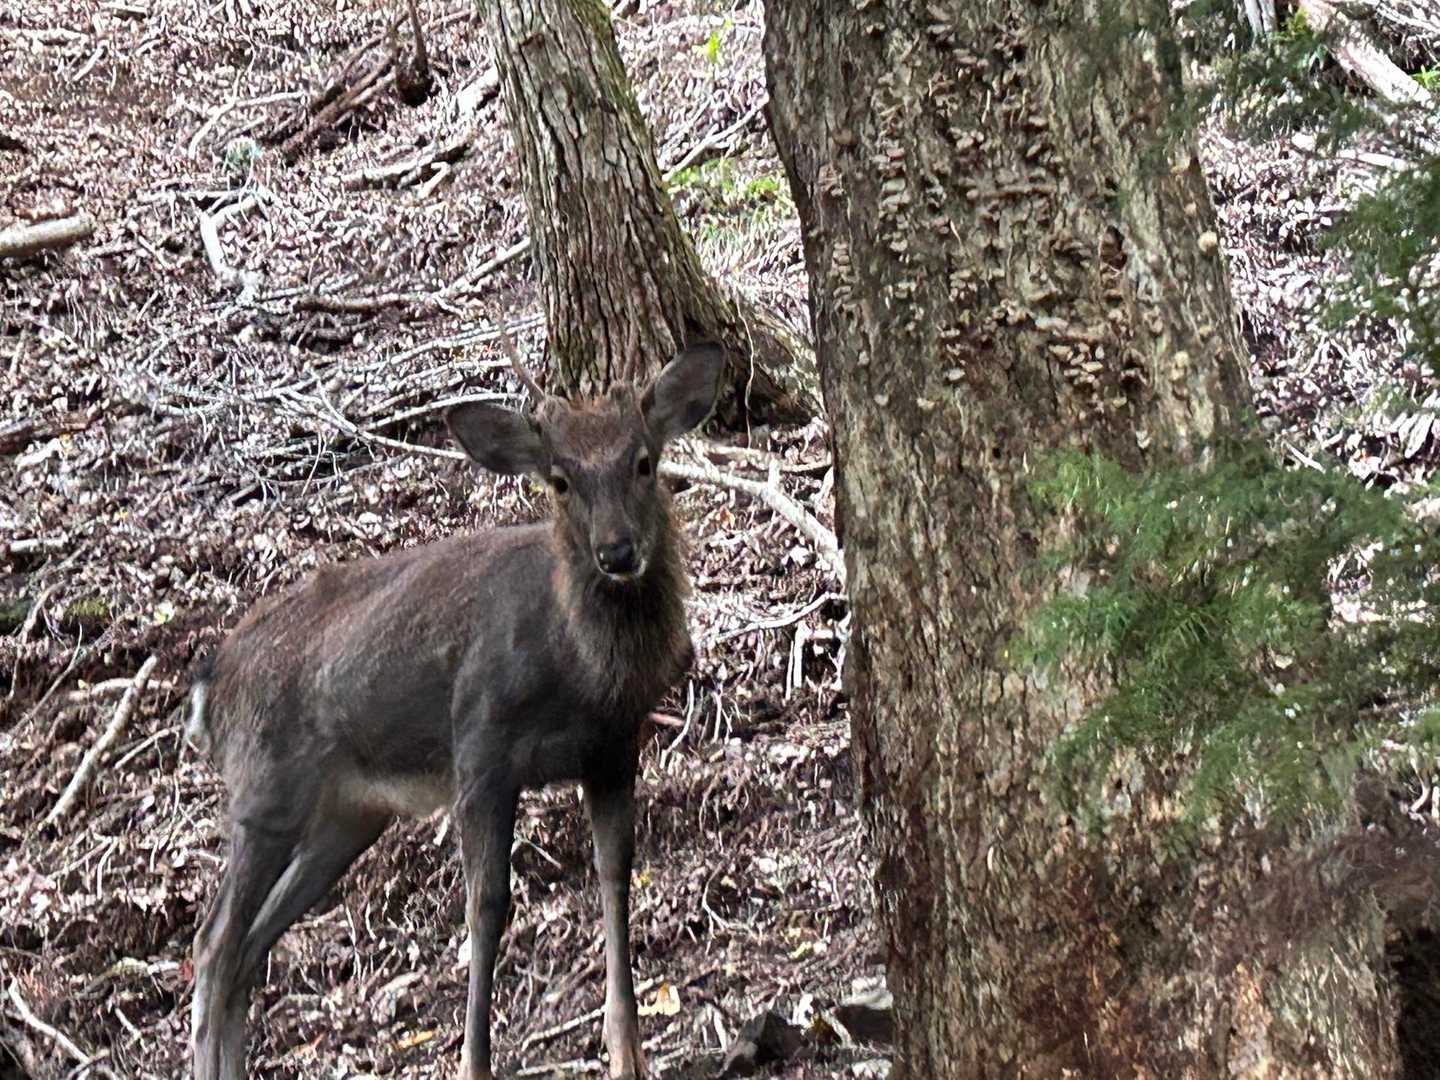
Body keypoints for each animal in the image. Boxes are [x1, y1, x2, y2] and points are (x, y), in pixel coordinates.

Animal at [187, 337, 726, 1080]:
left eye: (643, 461)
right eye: (559, 479)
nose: (617, 552)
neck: (577, 668)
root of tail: (212, 684)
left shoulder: (613, 752)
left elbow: (616, 877)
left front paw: (627, 1055)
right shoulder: (480, 747)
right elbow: (485, 909)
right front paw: (475, 1062)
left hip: (347, 816)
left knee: (246, 950)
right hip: (265, 789)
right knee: (212, 947)